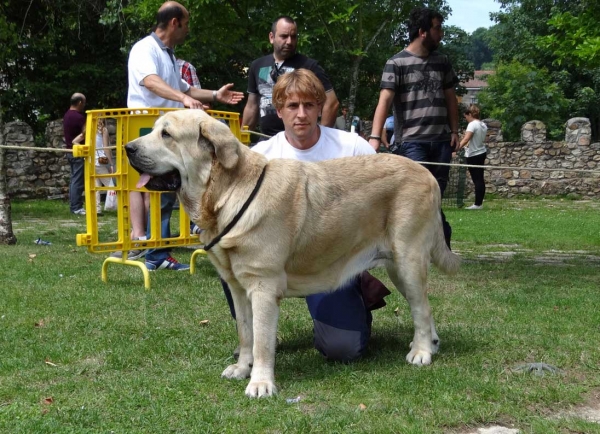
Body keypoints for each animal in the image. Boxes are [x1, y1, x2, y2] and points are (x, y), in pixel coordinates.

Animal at [126, 108, 462, 396]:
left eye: (166, 134)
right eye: (153, 130)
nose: (128, 148)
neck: (226, 191)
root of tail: (429, 175)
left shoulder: (262, 286)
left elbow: (262, 341)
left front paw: (260, 383)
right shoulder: (238, 287)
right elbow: (246, 333)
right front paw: (242, 368)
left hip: (408, 260)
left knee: (422, 308)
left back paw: (421, 352)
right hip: (399, 268)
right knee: (423, 306)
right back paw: (430, 344)